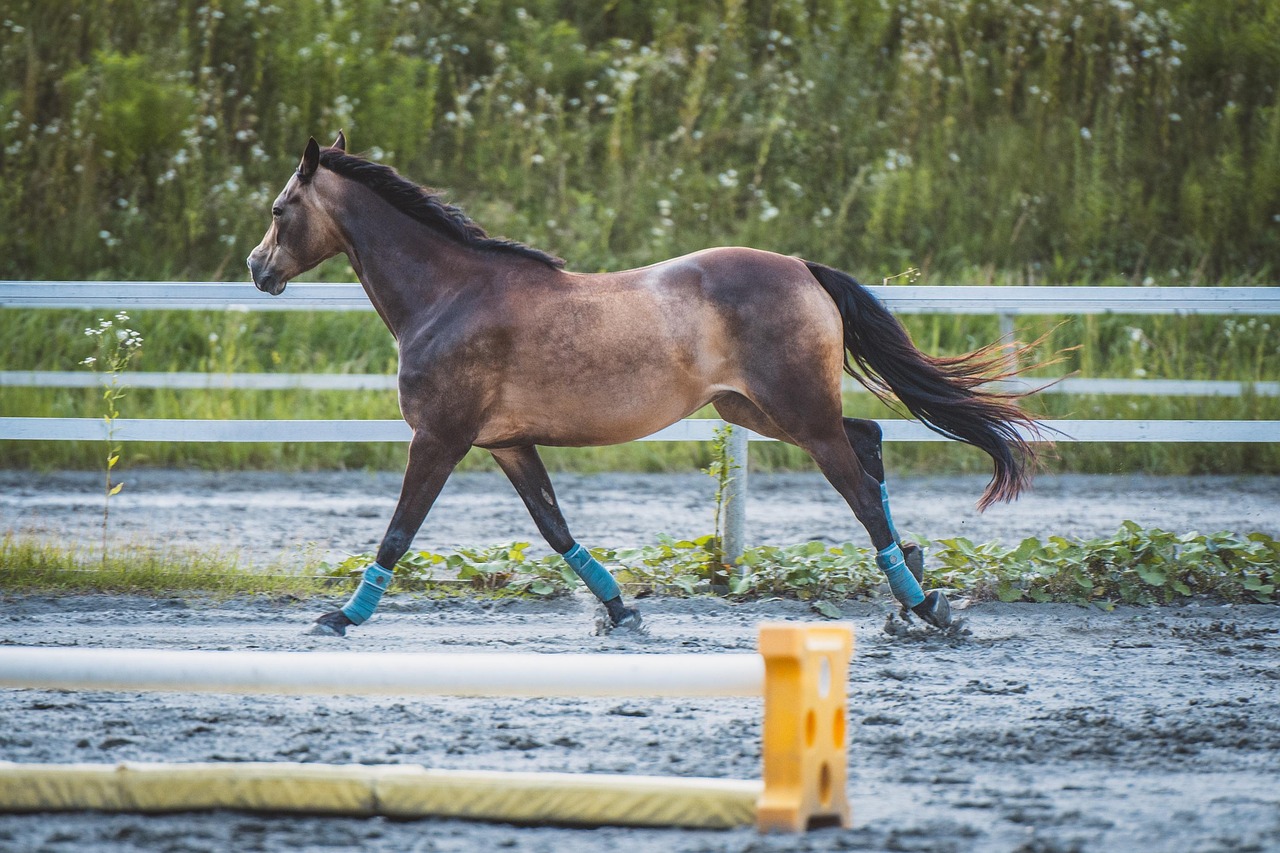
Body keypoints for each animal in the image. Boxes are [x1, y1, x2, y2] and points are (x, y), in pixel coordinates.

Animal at [248, 133, 1046, 636]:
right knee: (871, 442)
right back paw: (914, 582)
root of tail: (800, 265)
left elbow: (399, 531)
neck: (450, 295)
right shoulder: (506, 443)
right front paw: (621, 610)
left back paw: (925, 602)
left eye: (281, 207)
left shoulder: (439, 437)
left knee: (856, 480)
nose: (258, 268)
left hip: (797, 413)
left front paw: (342, 616)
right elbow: (554, 526)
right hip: (756, 409)